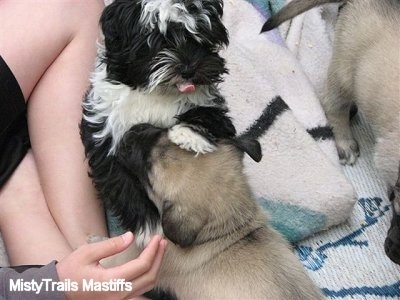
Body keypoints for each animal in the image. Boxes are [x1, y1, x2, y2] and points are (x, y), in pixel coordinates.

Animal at [79, 0, 239, 246]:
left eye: (199, 37)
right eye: (157, 41)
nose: (189, 69)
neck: (158, 93)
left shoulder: (209, 102)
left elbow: (210, 115)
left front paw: (189, 134)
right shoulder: (105, 132)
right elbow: (120, 180)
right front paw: (150, 229)